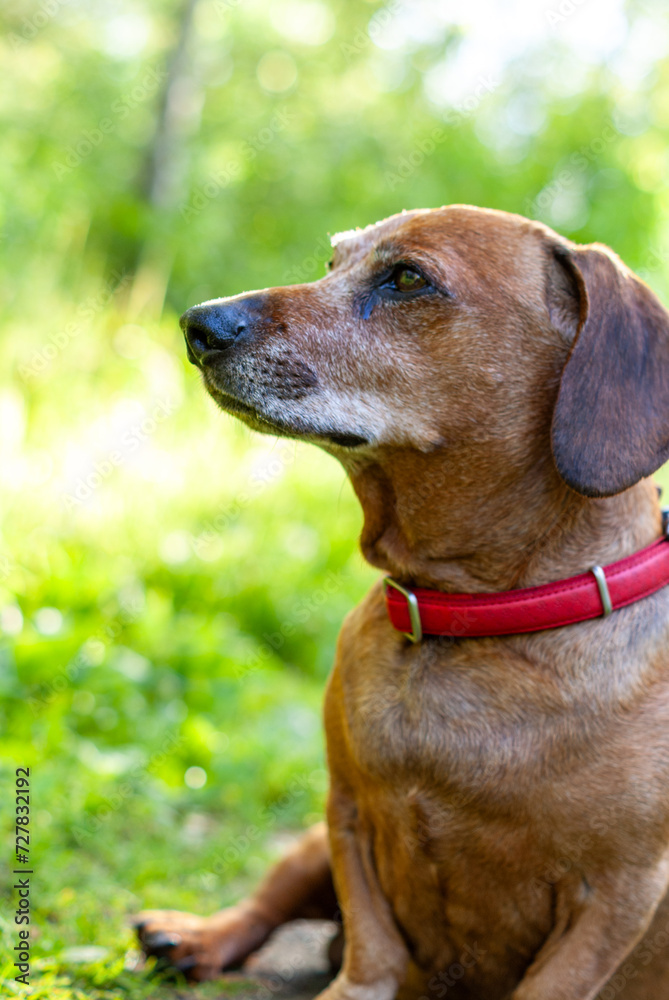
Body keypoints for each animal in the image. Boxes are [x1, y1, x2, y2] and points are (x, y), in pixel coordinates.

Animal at [137, 207, 669, 996]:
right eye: (332, 262)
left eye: (408, 278)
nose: (198, 324)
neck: (469, 615)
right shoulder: (348, 815)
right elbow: (371, 952)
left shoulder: (614, 897)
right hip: (306, 845)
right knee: (269, 903)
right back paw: (198, 936)